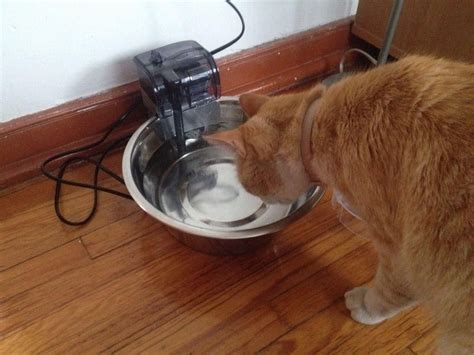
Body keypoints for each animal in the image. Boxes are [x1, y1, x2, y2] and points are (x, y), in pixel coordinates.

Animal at [207, 55, 474, 354]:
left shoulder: (401, 254)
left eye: (250, 187)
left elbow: (388, 292)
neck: (318, 125)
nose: (260, 200)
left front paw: (366, 307)